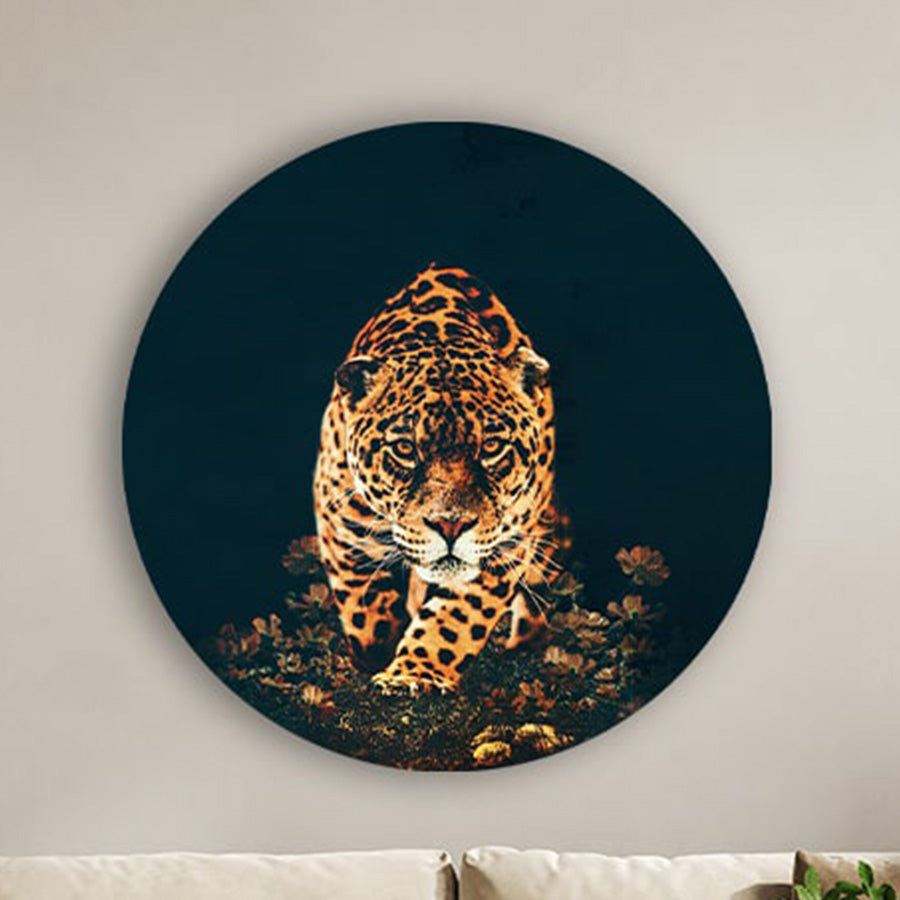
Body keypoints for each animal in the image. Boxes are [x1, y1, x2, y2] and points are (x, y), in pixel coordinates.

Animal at [313, 263, 563, 694]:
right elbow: (365, 609)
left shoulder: (506, 544)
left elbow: (455, 619)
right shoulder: (343, 526)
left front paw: (413, 673)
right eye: (405, 449)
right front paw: (377, 654)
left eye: (491, 446)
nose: (450, 525)